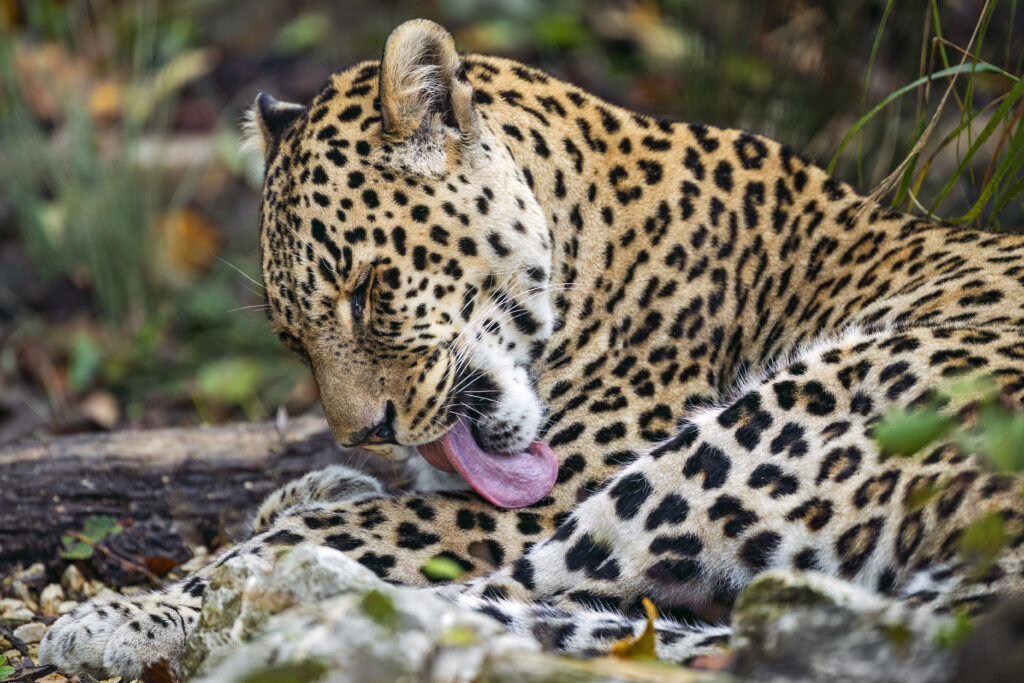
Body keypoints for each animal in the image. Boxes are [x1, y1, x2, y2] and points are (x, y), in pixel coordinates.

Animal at [40, 18, 1024, 679]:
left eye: (366, 290)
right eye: (292, 339)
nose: (365, 434)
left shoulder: (523, 502)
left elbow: (340, 531)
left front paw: (129, 610)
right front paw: (320, 480)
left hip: (762, 430)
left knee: (491, 589)